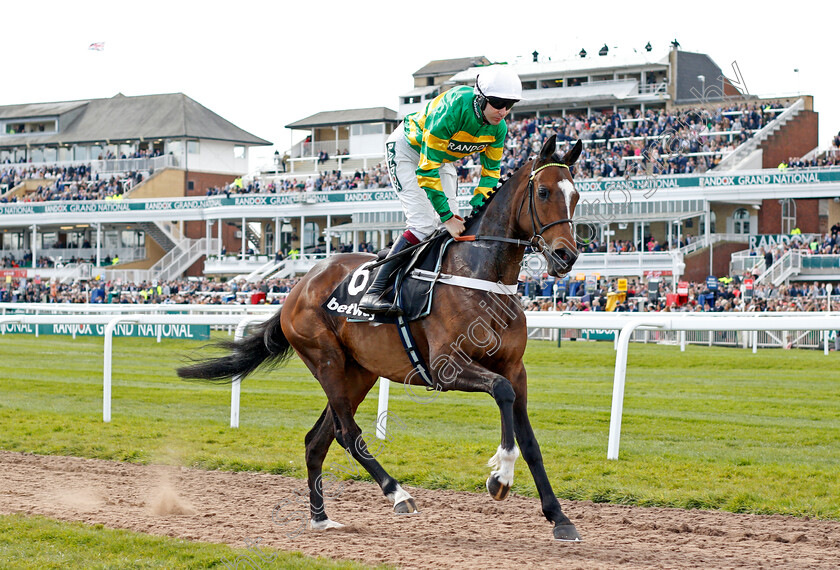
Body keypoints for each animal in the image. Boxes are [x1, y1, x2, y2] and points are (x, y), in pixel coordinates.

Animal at [177, 135, 584, 540]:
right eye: (544, 191)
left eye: (576, 195)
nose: (566, 255)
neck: (482, 275)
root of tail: (298, 287)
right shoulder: (446, 367)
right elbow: (500, 391)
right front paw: (500, 477)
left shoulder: (515, 368)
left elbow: (528, 438)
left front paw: (559, 516)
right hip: (326, 361)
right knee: (347, 433)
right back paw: (397, 493)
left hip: (359, 372)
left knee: (316, 440)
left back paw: (320, 517)